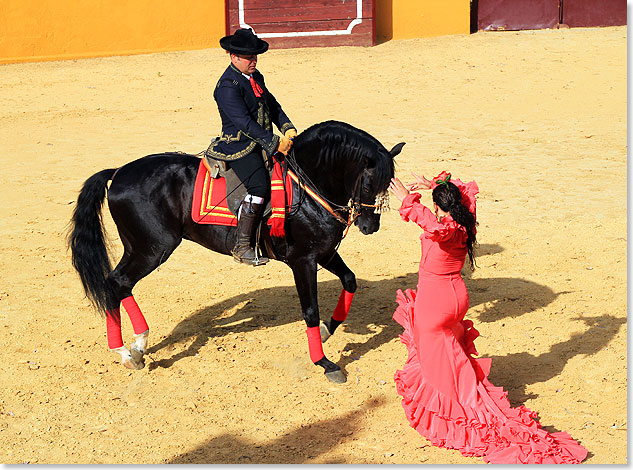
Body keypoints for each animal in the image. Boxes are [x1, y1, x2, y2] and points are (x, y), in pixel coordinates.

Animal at [69, 120, 402, 382]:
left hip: (140, 249)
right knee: (117, 283)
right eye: (369, 183)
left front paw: (326, 330)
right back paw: (127, 351)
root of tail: (119, 172)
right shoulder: (302, 261)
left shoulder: (324, 252)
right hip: (151, 249)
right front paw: (324, 363)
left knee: (118, 285)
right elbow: (310, 310)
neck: (307, 183)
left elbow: (350, 281)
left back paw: (136, 350)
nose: (370, 226)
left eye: (388, 184)